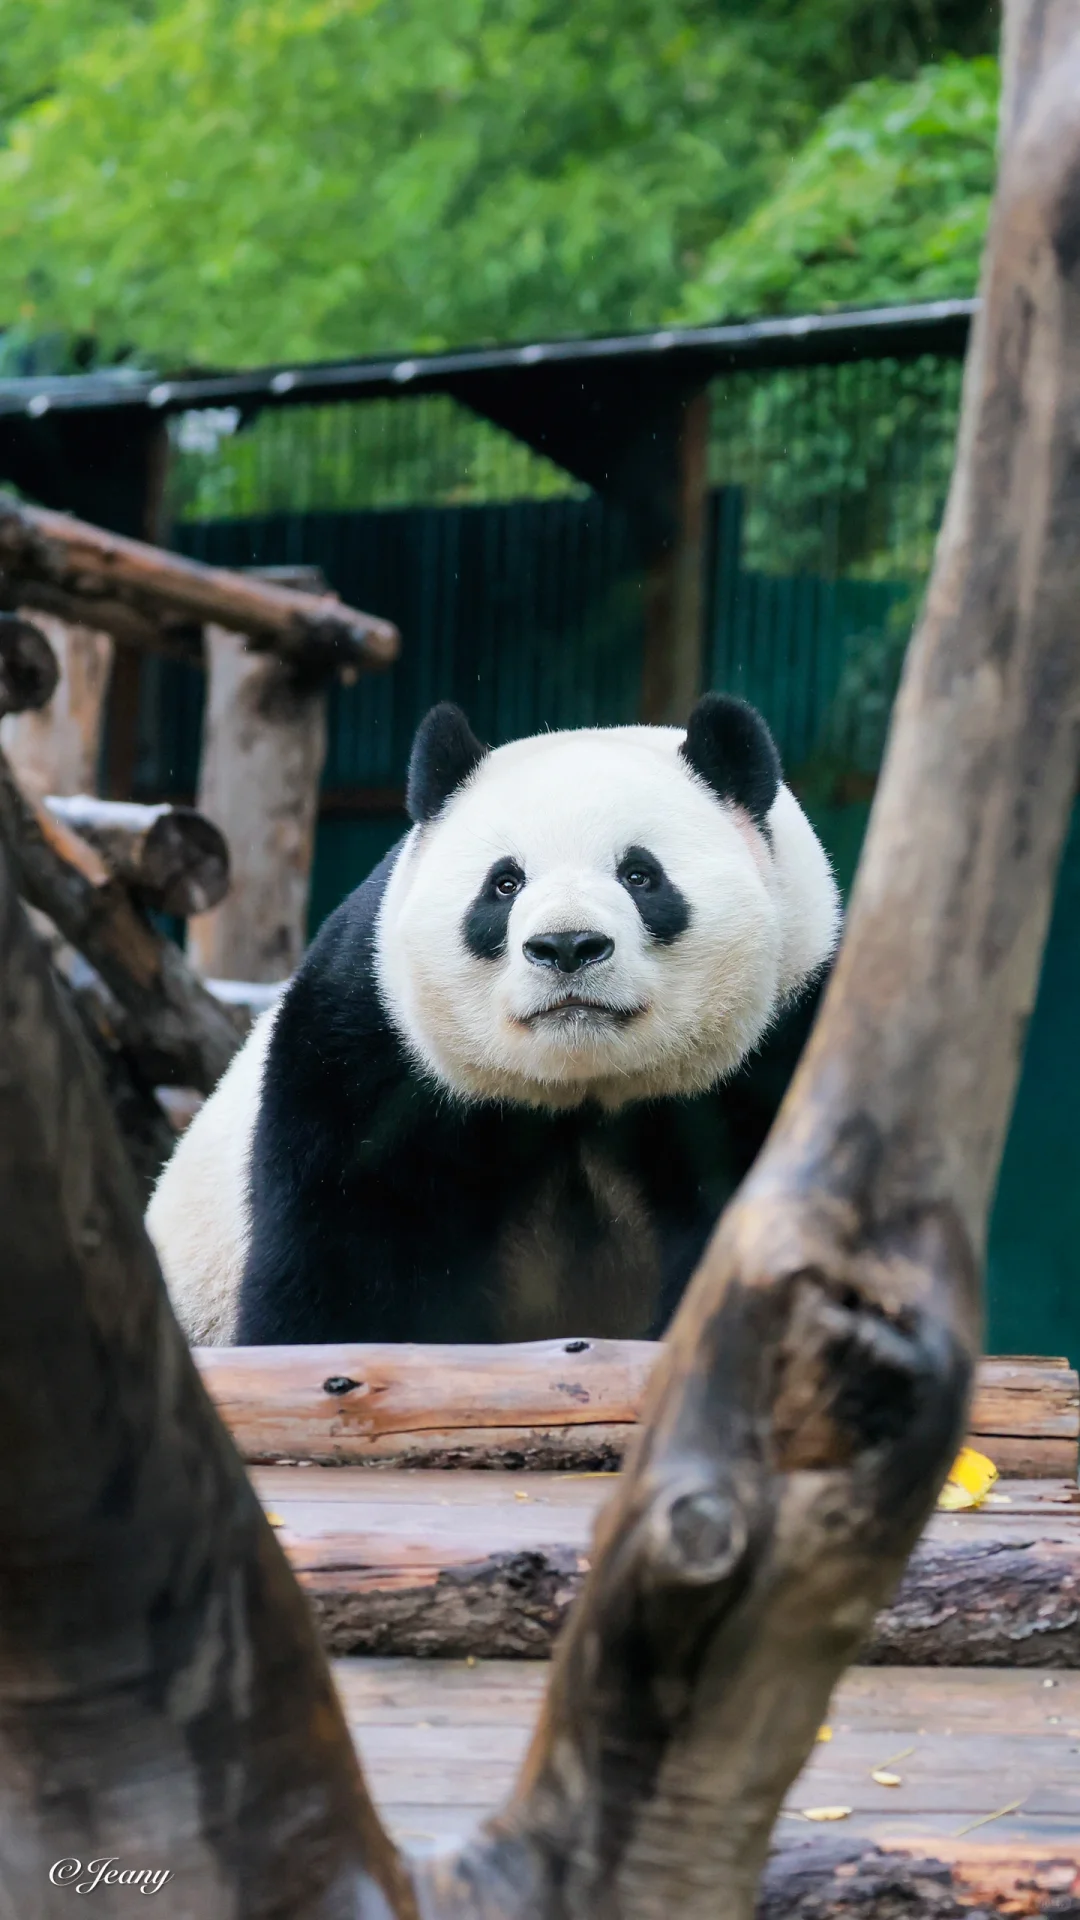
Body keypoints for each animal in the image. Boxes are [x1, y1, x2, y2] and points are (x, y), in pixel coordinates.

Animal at [147, 698, 841, 1344]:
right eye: (504, 884)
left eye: (641, 875)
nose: (567, 946)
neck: (579, 1088)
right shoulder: (373, 1053)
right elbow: (349, 1260)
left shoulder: (784, 1034)